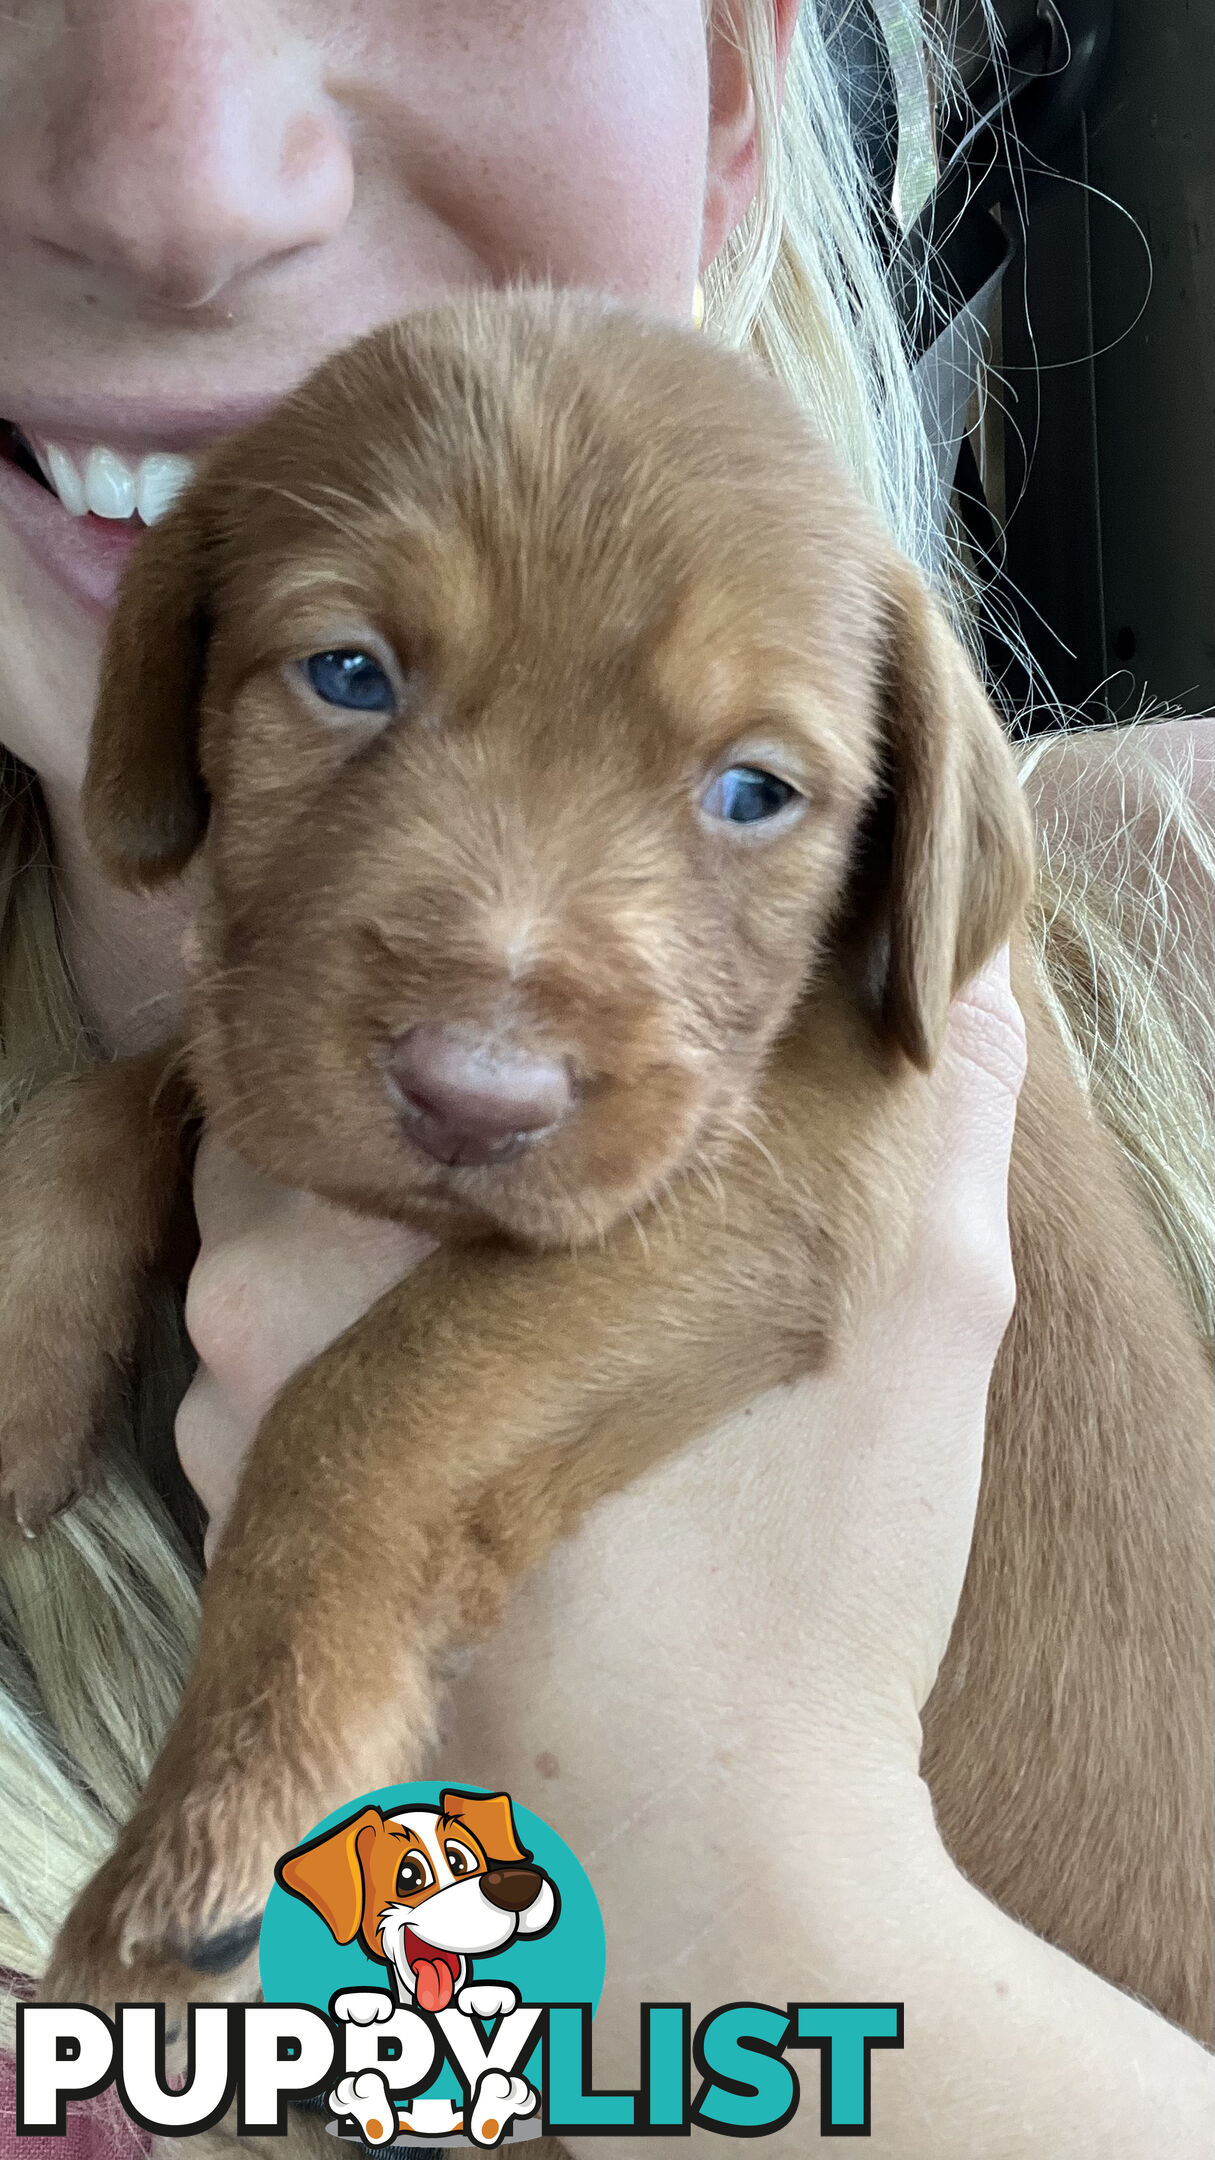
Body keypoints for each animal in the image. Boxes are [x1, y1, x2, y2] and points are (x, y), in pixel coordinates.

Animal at [2, 295, 1202, 2030]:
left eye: (754, 790)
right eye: (348, 674)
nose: (475, 1099)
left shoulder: (763, 1189)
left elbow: (365, 1408)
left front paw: (237, 1798)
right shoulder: (269, 1032)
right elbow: (125, 1088)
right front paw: (21, 1353)